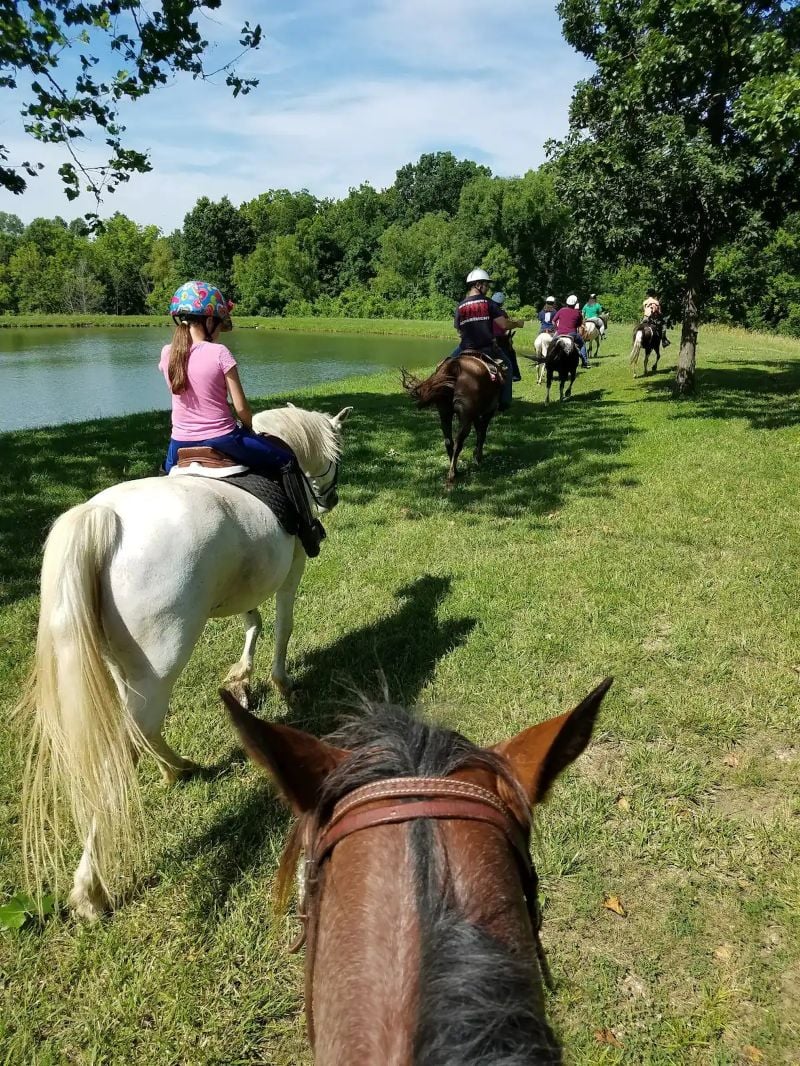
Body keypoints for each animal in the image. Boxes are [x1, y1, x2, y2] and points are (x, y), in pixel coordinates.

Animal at [20, 402, 352, 921]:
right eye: (337, 455)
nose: (332, 498)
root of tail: (102, 518)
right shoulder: (292, 570)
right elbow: (282, 624)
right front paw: (281, 685)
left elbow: (253, 621)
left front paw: (241, 678)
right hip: (161, 661)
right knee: (124, 750)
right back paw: (91, 891)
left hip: (124, 666)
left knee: (140, 729)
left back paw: (177, 768)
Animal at [401, 349, 507, 483]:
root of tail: (455, 367)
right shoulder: (487, 413)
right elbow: (482, 434)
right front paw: (478, 457)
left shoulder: (475, 415)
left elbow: (479, 432)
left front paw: (476, 455)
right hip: (465, 418)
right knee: (458, 442)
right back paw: (452, 473)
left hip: (445, 413)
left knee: (448, 441)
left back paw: (454, 469)